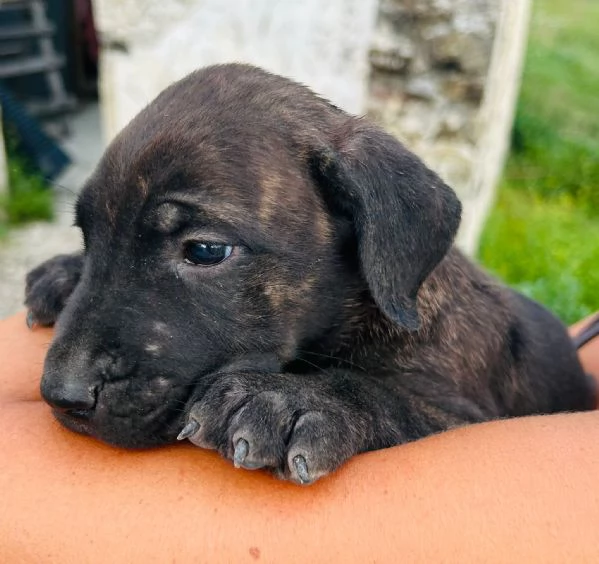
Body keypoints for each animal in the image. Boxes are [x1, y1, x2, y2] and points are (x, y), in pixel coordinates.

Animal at [24, 64, 596, 482]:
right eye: (90, 237)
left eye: (206, 251)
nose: (62, 394)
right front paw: (64, 273)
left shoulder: (462, 414)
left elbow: (389, 396)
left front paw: (289, 402)